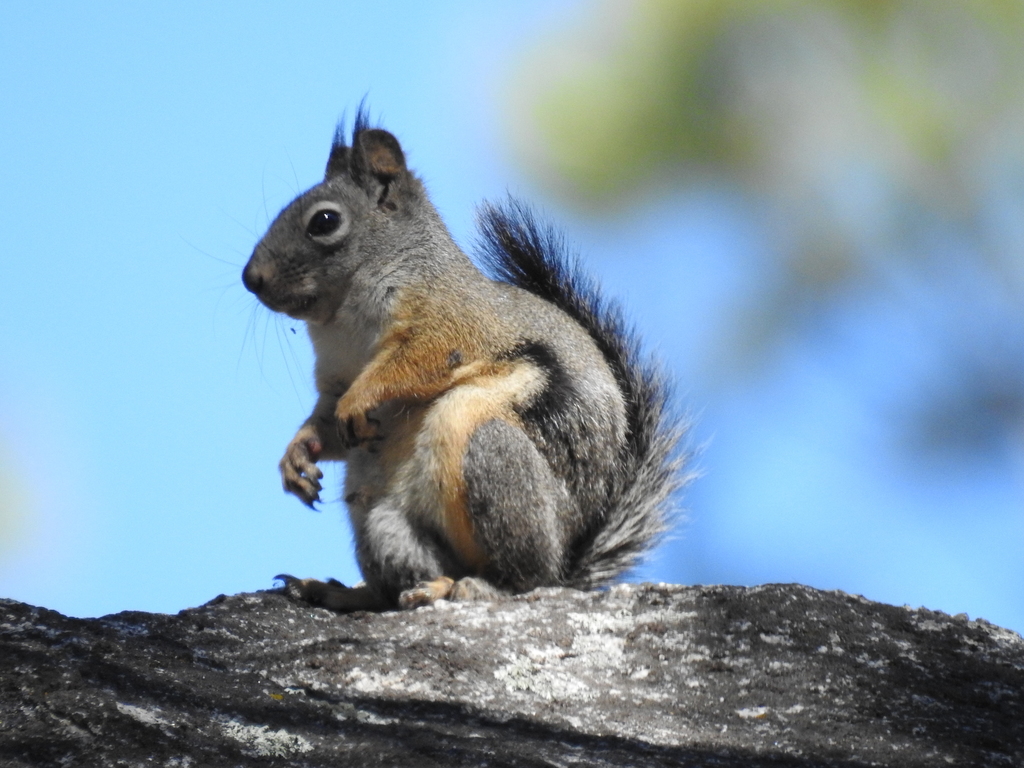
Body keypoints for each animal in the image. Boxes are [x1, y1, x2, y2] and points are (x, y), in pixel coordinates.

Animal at [241, 108, 686, 611]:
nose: (251, 278)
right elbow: (327, 421)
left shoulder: (452, 320)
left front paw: (361, 398)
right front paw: (297, 454)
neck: (342, 320)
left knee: (523, 575)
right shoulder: (334, 376)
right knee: (398, 581)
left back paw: (481, 586)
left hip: (495, 459)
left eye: (324, 221)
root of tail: (564, 571)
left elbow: (417, 361)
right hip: (381, 517)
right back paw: (349, 590)